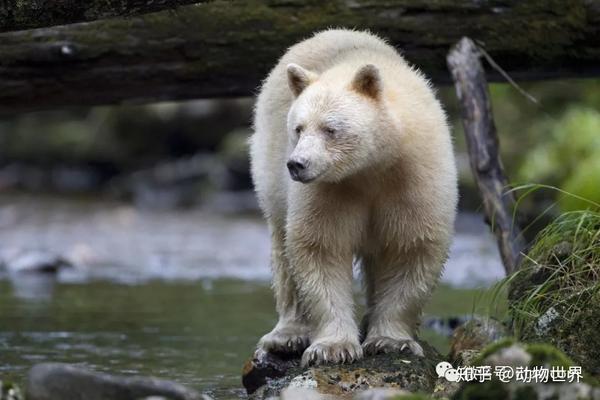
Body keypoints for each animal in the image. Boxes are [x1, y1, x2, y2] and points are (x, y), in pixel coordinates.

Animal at [251, 27, 458, 366]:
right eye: (298, 128)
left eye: (330, 129)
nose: (297, 164)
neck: (369, 169)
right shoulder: (330, 191)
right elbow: (320, 247)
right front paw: (332, 348)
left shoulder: (413, 177)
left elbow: (411, 246)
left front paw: (391, 341)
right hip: (270, 165)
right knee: (281, 243)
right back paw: (286, 336)